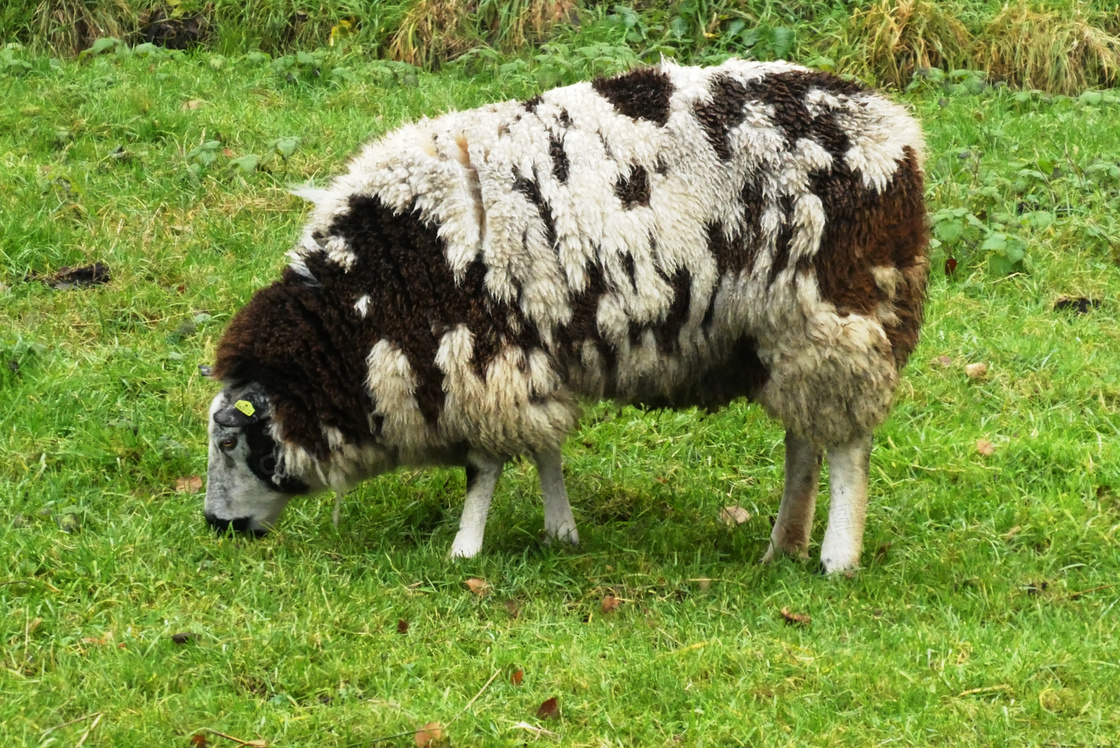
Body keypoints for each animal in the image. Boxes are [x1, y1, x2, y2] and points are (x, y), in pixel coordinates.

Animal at [201, 58, 927, 573]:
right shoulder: (528, 354)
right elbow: (545, 446)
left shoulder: (480, 359)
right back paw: (782, 547)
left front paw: (465, 548)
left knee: (847, 446)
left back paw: (836, 558)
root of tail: (898, 135)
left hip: (842, 314)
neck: (366, 307)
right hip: (784, 334)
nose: (215, 526)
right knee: (805, 438)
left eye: (230, 442)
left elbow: (484, 466)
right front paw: (562, 532)